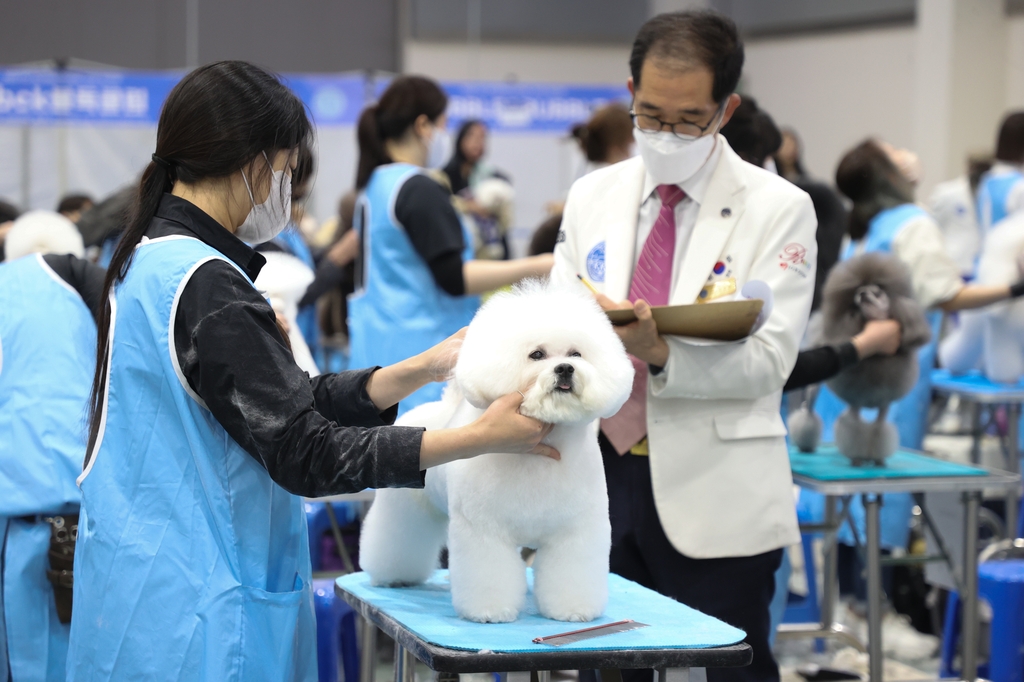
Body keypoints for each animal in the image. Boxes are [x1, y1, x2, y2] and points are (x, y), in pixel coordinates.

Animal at [358, 278, 630, 622]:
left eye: (576, 353)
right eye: (537, 354)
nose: (566, 369)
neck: (538, 456)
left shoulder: (575, 531)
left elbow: (572, 572)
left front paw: (573, 610)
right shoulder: (484, 530)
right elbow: (488, 573)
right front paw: (490, 611)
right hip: (405, 507)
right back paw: (394, 576)